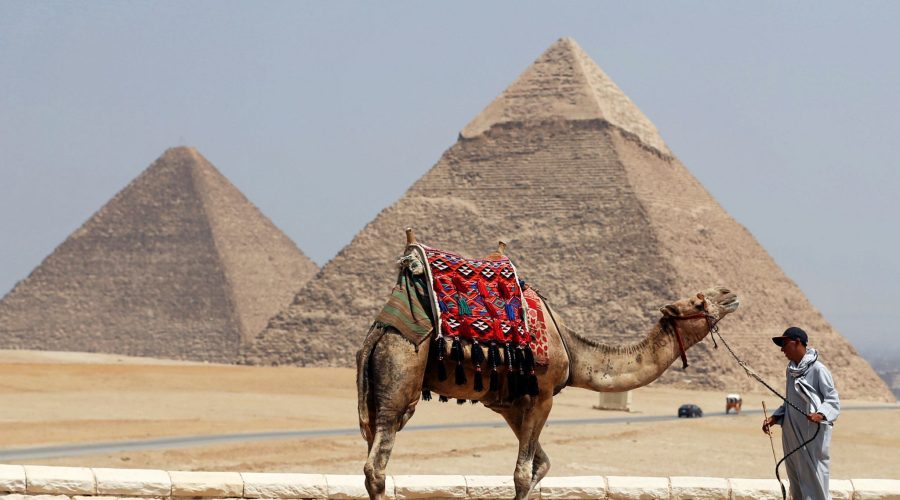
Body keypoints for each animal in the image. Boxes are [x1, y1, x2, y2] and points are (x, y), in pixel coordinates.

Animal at [357, 231, 740, 500]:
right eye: (697, 300)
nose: (729, 293)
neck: (574, 353)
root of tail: (378, 331)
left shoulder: (510, 404)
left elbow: (540, 464)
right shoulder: (542, 395)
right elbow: (523, 473)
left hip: (375, 391)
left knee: (373, 458)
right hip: (401, 372)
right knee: (377, 464)